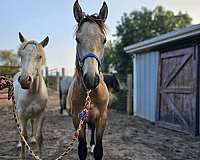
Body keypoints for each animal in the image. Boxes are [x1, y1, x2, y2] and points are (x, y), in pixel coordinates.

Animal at [68, 1, 109, 160]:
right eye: (77, 39)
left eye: (104, 40)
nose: (91, 79)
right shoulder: (77, 118)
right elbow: (81, 149)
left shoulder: (102, 118)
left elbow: (98, 150)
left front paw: (93, 148)